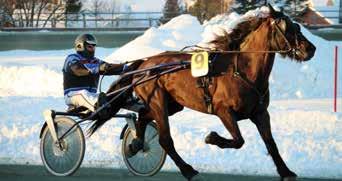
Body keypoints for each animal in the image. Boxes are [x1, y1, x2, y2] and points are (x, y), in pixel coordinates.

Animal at [90, 4, 316, 181]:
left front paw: (286, 171)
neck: (241, 70)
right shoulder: (223, 111)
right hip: (157, 101)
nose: (310, 49)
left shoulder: (260, 112)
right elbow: (238, 140)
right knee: (165, 139)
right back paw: (188, 170)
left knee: (143, 116)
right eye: (286, 27)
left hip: (172, 104)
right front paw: (211, 138)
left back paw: (136, 144)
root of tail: (145, 63)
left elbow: (271, 143)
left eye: (297, 25)